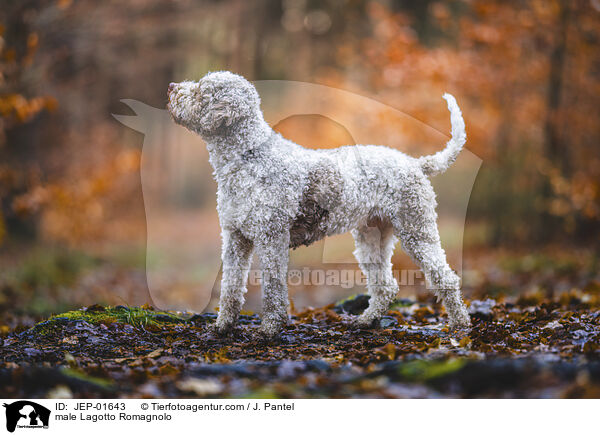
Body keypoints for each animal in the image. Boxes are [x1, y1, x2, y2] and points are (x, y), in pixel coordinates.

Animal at [166, 70, 472, 338]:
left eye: (200, 91)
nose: (171, 87)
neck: (250, 157)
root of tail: (415, 163)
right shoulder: (234, 237)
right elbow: (231, 286)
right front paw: (223, 326)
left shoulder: (271, 238)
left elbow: (272, 289)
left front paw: (270, 328)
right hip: (372, 236)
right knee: (385, 285)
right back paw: (366, 320)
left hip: (417, 230)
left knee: (445, 278)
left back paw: (460, 324)